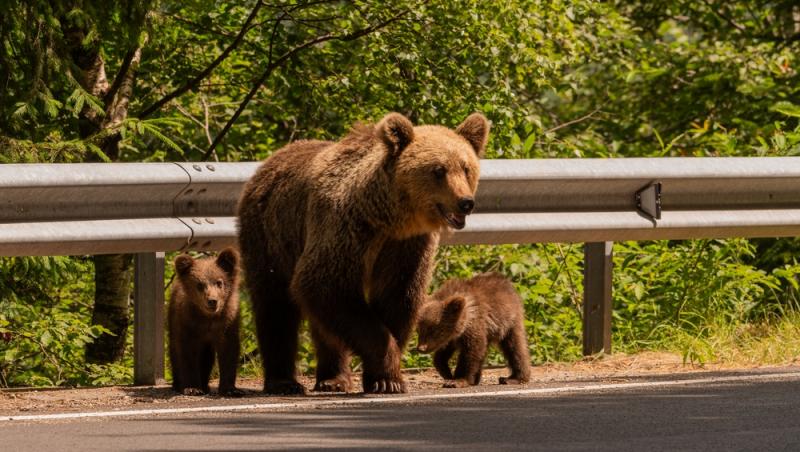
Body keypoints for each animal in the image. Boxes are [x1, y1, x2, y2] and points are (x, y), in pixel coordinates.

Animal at [167, 247, 242, 396]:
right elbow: (187, 353)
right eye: (199, 284)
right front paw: (192, 388)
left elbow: (228, 351)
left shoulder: (226, 323)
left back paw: (205, 385)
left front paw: (230, 389)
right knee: (174, 350)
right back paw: (178, 384)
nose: (212, 300)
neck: (208, 318)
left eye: (219, 282)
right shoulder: (188, 323)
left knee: (207, 357)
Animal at [234, 112, 490, 392]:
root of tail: (268, 162)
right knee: (275, 304)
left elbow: (397, 296)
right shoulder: (347, 229)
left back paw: (333, 379)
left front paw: (381, 378)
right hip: (270, 236)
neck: (389, 218)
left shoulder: (406, 246)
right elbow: (327, 285)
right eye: (438, 170)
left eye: (466, 168)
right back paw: (284, 381)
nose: (465, 202)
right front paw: (389, 375)